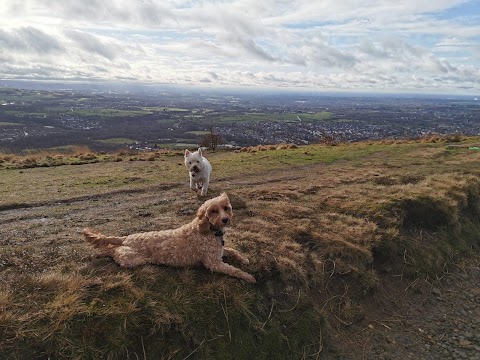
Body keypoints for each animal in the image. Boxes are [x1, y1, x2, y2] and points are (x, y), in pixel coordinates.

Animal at [83, 193, 255, 282]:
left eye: (226, 208)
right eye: (213, 211)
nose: (225, 219)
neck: (209, 230)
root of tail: (125, 238)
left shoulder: (219, 251)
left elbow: (232, 250)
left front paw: (244, 259)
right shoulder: (214, 263)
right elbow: (233, 270)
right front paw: (247, 276)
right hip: (130, 259)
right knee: (112, 251)